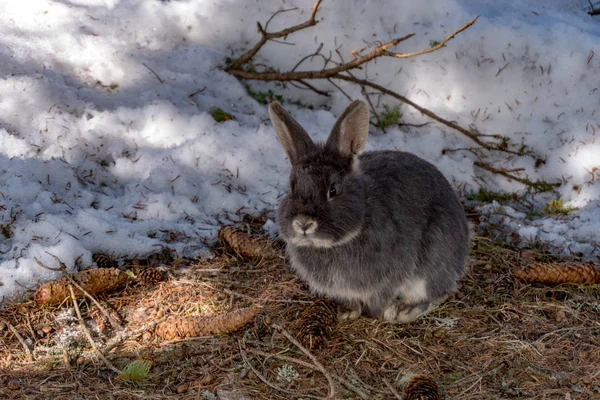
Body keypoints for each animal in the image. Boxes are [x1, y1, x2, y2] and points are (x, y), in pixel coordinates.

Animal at [270, 100, 472, 322]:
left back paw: (404, 311)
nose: (303, 223)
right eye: (292, 187)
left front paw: (378, 313)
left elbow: (380, 298)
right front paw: (347, 312)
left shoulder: (388, 278)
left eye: (333, 190)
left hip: (433, 260)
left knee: (438, 293)